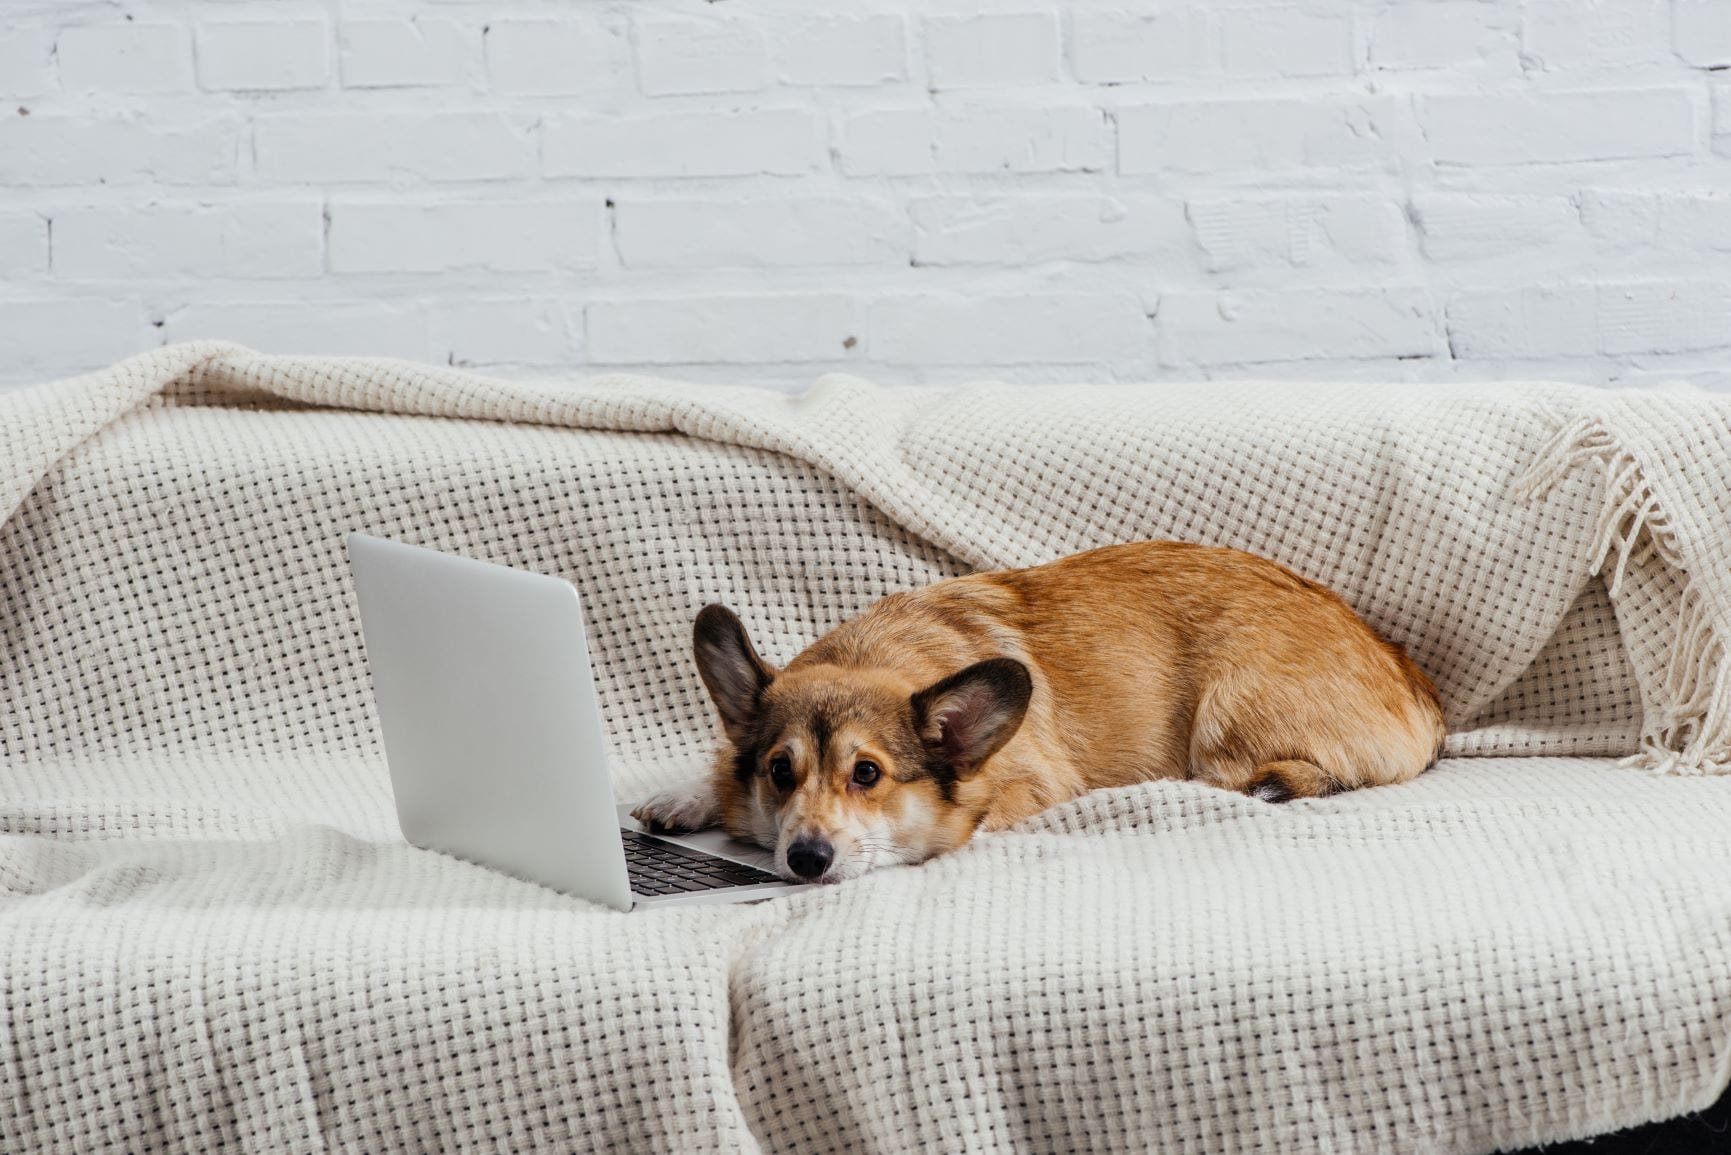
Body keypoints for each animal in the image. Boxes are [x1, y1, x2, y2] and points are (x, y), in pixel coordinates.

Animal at [630, 543, 1440, 886]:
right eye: (779, 771)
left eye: (867, 774)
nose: (805, 860)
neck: (878, 655)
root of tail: (1407, 671)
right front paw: (685, 797)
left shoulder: (1028, 786)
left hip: (1224, 716)